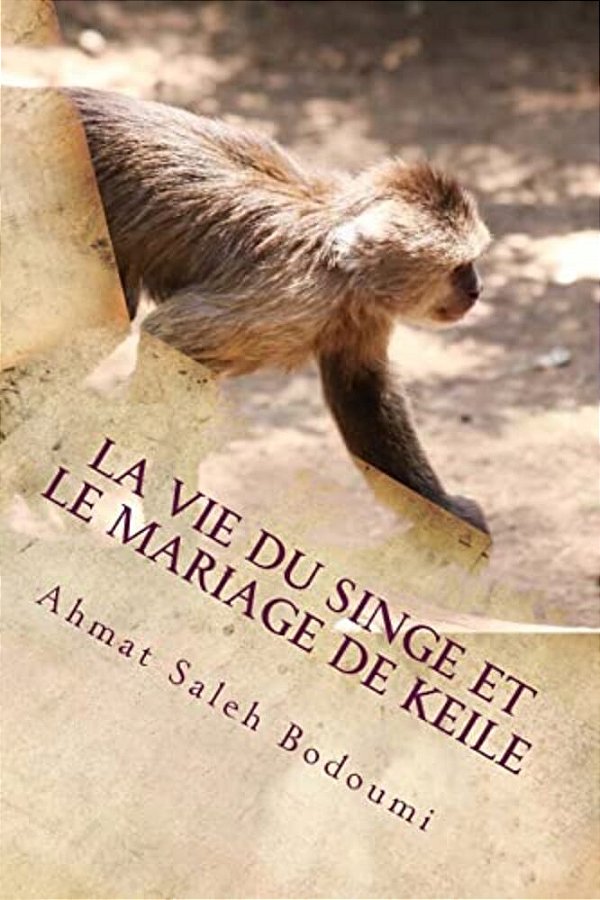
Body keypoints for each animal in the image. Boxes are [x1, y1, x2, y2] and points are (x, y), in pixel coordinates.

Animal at [65, 88, 491, 533]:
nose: (477, 290)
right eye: (460, 269)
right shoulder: (297, 296)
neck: (344, 263)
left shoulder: (363, 312)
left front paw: (443, 512)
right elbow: (169, 338)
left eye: (472, 265)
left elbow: (361, 389)